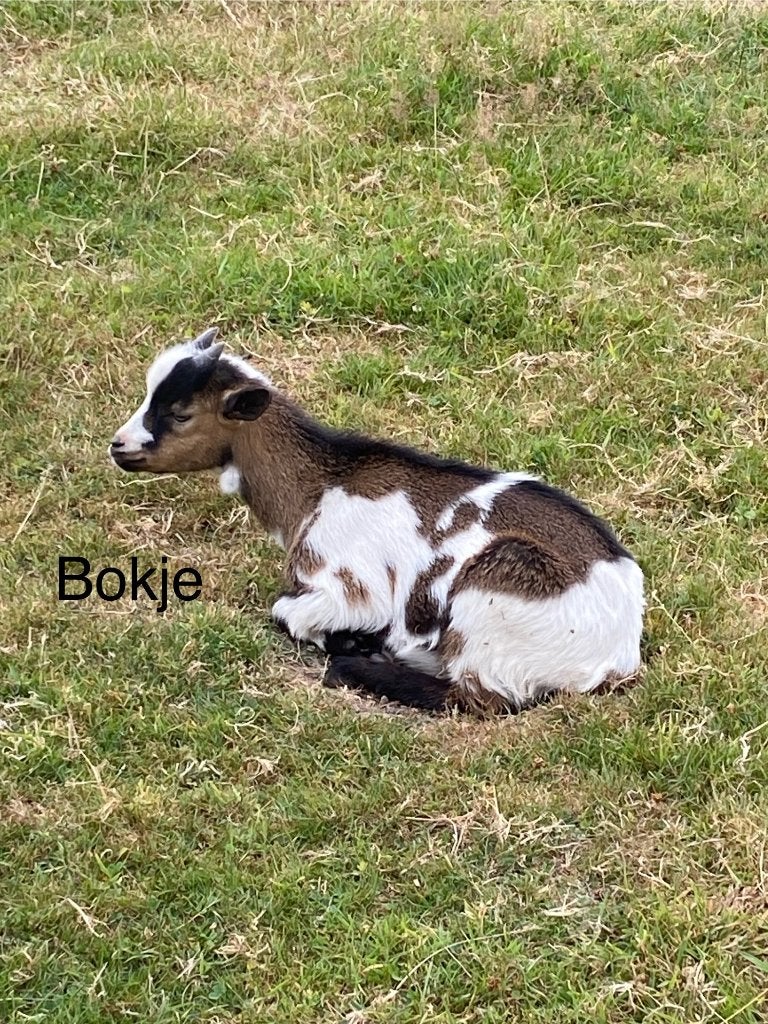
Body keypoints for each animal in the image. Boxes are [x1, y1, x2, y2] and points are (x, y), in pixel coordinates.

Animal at [111, 327, 645, 714]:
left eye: (181, 414)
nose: (119, 445)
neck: (319, 487)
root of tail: (618, 655)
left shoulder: (348, 585)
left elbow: (287, 612)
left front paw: (348, 639)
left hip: (494, 599)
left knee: (478, 698)